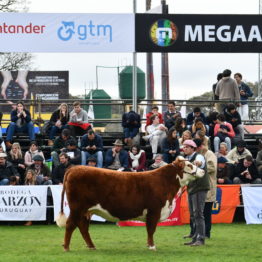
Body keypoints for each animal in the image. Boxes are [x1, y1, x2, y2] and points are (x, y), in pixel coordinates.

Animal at [56, 156, 205, 252]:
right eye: (190, 165)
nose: (203, 171)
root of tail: (75, 168)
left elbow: (150, 229)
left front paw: (149, 245)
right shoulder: (154, 210)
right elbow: (151, 229)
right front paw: (152, 246)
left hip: (87, 211)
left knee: (83, 227)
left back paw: (91, 246)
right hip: (77, 207)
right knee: (70, 224)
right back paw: (66, 247)